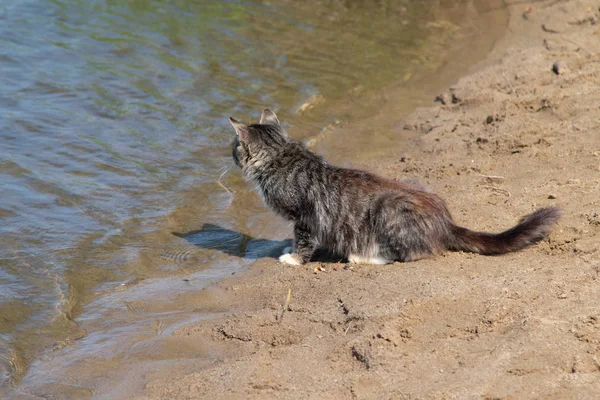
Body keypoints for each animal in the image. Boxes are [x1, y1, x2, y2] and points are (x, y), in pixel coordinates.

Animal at [229, 109, 556, 266]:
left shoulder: (304, 216)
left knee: (411, 253)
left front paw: (295, 259)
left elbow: (304, 241)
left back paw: (363, 256)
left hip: (388, 210)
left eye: (234, 146)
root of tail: (445, 220)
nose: (228, 153)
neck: (282, 156)